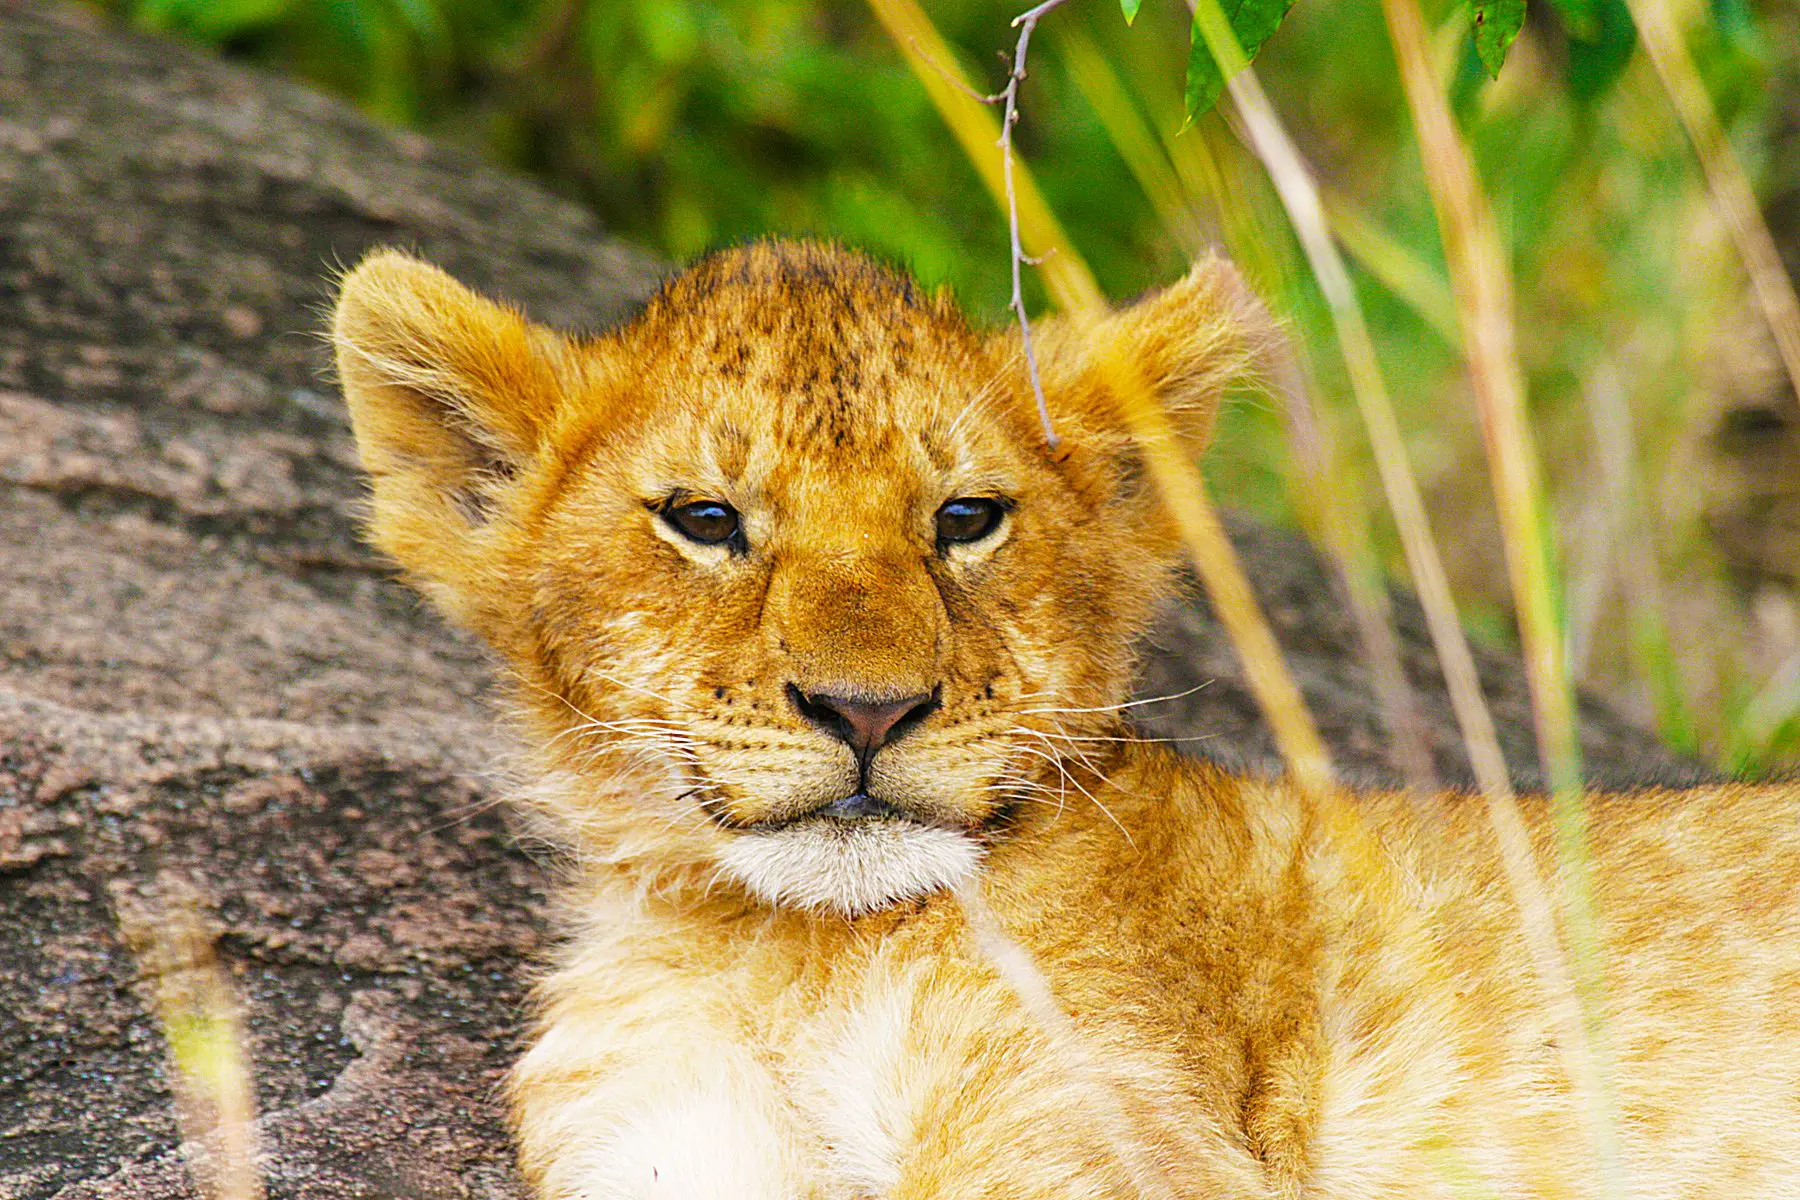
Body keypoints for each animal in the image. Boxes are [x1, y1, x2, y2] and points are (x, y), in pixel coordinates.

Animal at [330, 240, 1800, 1199]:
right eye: (705, 520)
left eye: (967, 518)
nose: (869, 710)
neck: (786, 952)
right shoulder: (660, 1136)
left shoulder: (1122, 1130)